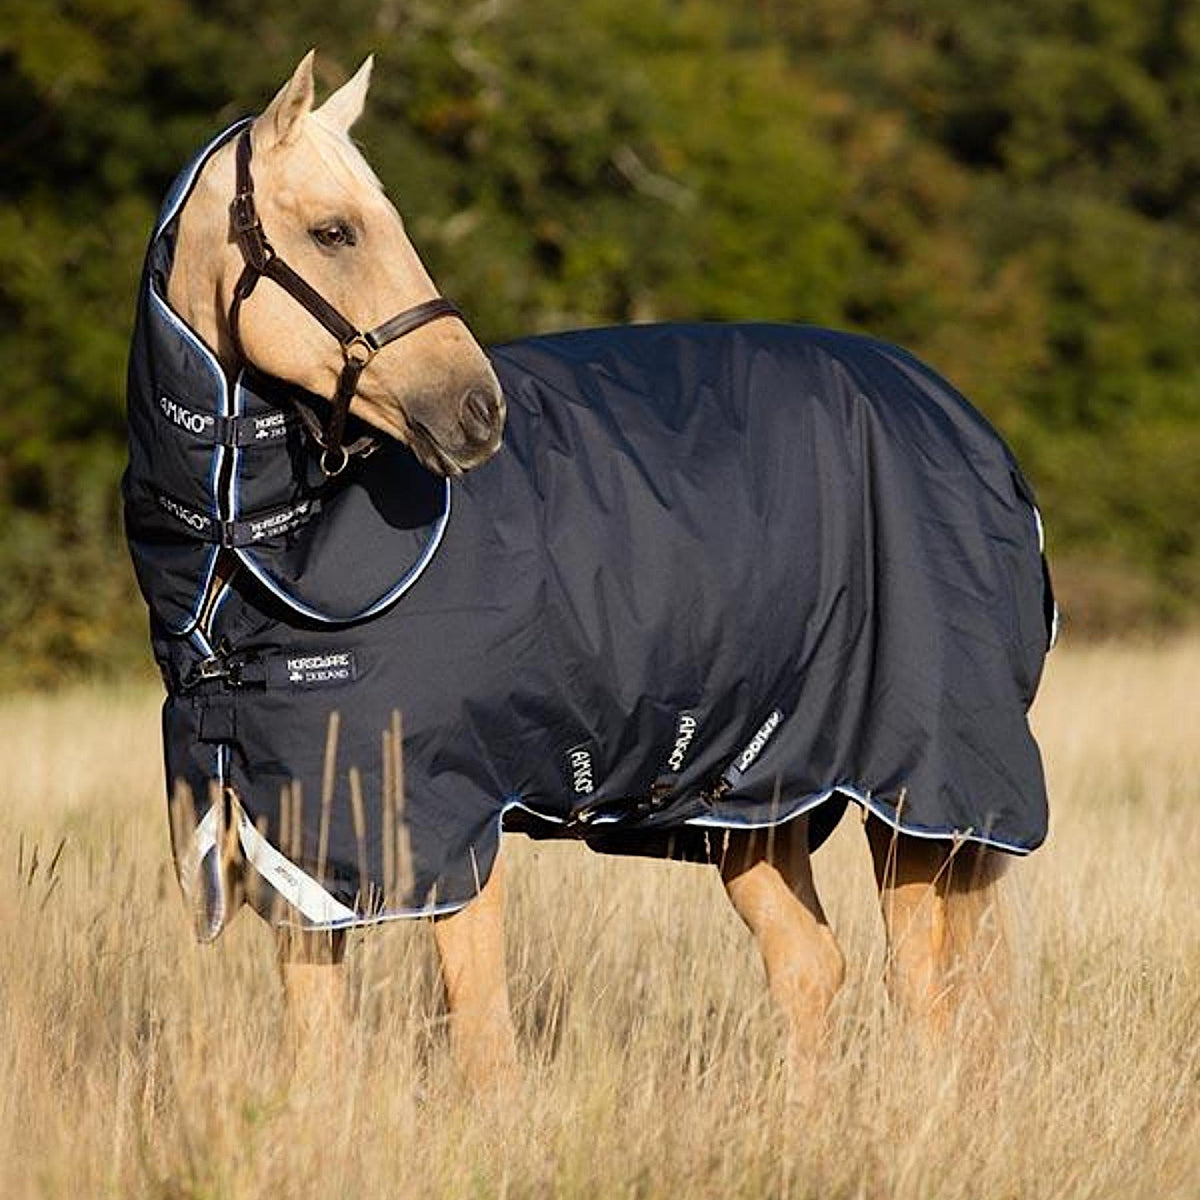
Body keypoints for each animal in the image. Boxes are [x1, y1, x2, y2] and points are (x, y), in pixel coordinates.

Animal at [125, 52, 1054, 1085]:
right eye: (334, 232)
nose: (476, 411)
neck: (248, 559)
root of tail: (971, 431)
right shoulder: (302, 849)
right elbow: (319, 1062)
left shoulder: (453, 827)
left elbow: (482, 1041)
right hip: (757, 797)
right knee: (811, 966)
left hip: (919, 793)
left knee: (927, 986)